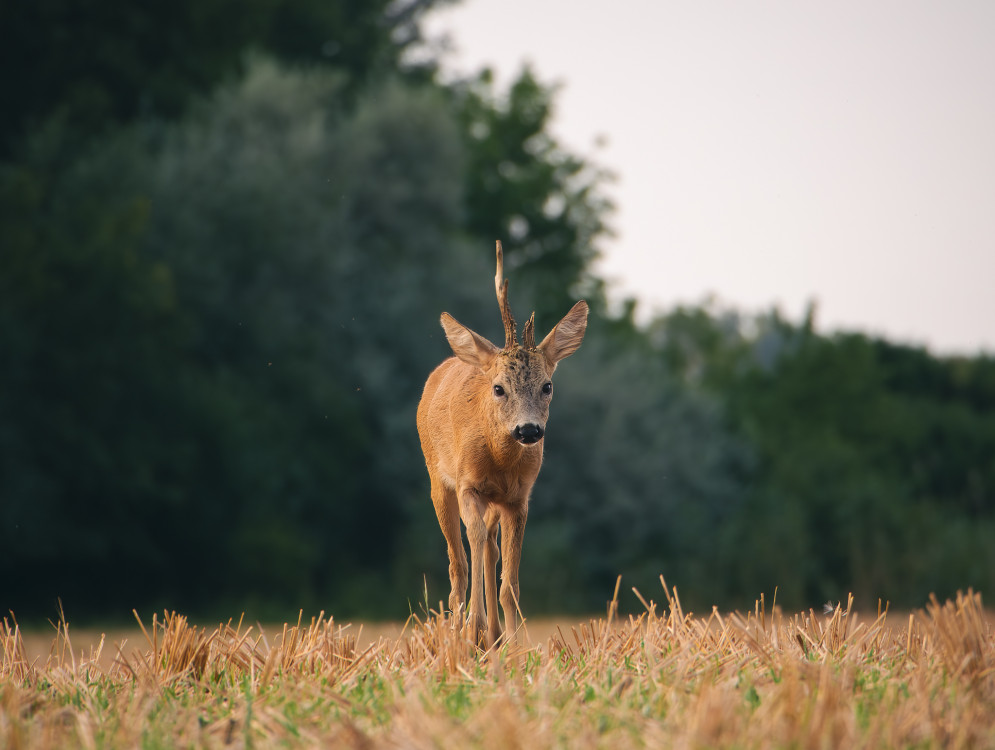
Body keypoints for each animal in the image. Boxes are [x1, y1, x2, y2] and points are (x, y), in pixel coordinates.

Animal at [416, 241, 588, 648]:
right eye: (499, 388)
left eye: (547, 386)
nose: (528, 430)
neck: (499, 460)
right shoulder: (467, 484)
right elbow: (471, 545)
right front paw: (471, 630)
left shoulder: (519, 498)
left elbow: (510, 582)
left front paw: (512, 644)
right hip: (437, 478)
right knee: (459, 560)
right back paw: (460, 631)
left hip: (493, 503)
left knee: (491, 550)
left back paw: (491, 634)